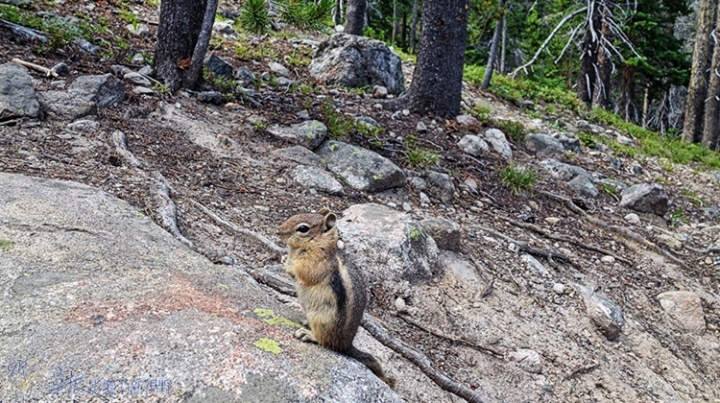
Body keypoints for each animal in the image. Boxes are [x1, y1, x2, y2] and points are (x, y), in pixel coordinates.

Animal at [278, 208, 396, 388]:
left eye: (303, 228)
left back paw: (308, 334)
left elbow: (304, 273)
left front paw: (287, 265)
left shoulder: (316, 264)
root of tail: (345, 345)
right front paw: (284, 258)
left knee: (325, 342)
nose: (278, 231)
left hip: (322, 320)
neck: (317, 245)